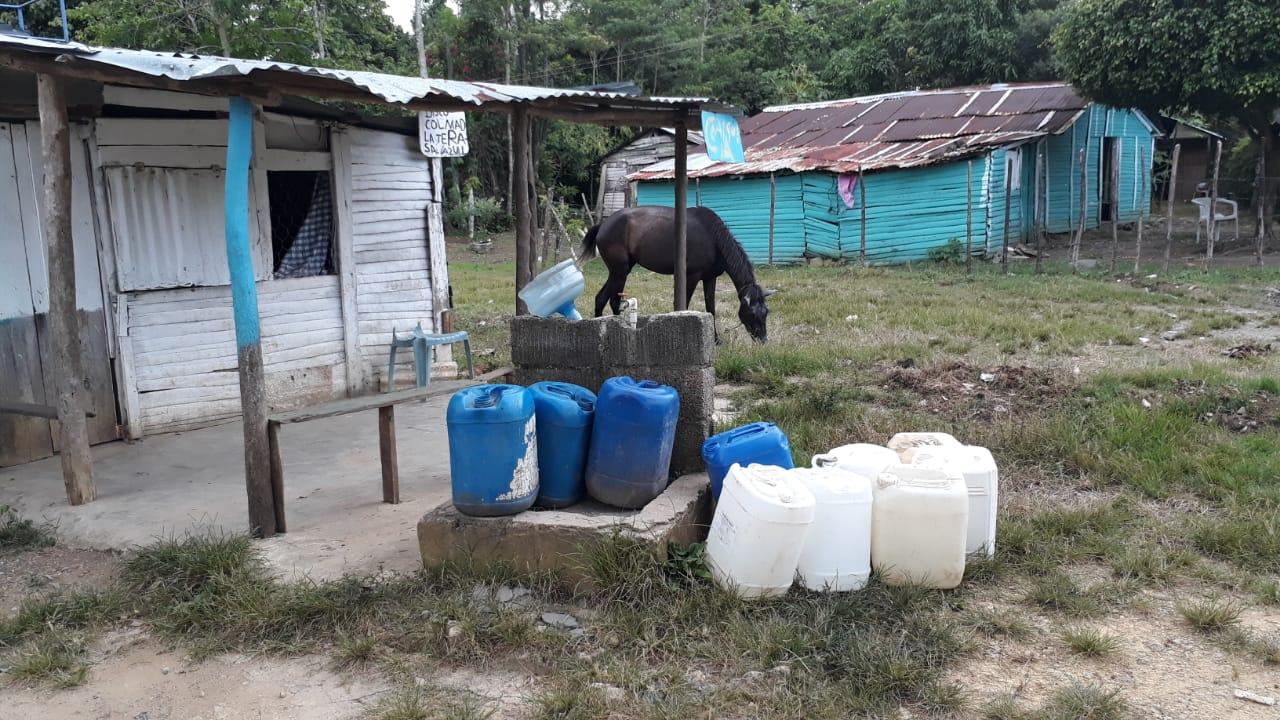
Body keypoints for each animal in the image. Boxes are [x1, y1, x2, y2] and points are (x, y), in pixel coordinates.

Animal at [578, 203, 768, 340]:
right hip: (620, 272)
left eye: (766, 312)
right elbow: (684, 305)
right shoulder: (691, 277)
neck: (713, 238)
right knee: (609, 300)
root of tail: (603, 224)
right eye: (752, 313)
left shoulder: (710, 278)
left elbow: (711, 309)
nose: (763, 339)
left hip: (619, 272)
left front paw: (715, 340)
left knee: (604, 299)